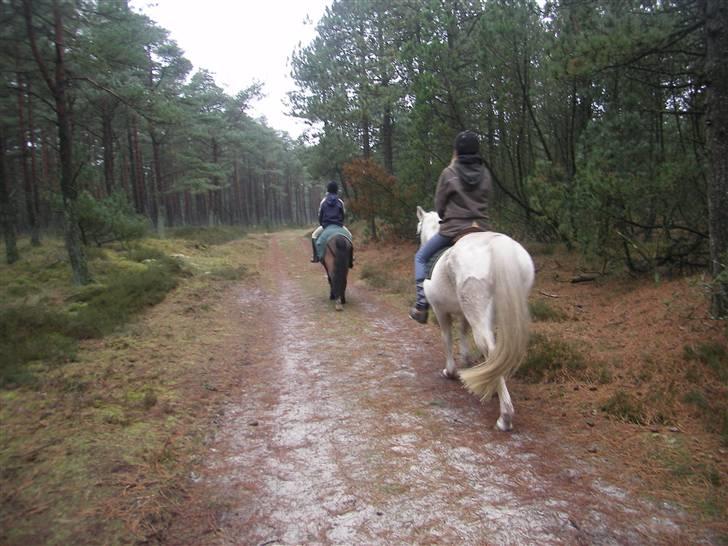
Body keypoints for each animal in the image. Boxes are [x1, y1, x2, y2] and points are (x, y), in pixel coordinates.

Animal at [416, 205, 536, 430]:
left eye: (418, 227)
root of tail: (498, 244)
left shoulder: (440, 310)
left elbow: (446, 337)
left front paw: (451, 372)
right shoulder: (465, 314)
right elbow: (463, 333)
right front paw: (467, 362)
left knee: (490, 348)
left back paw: (505, 416)